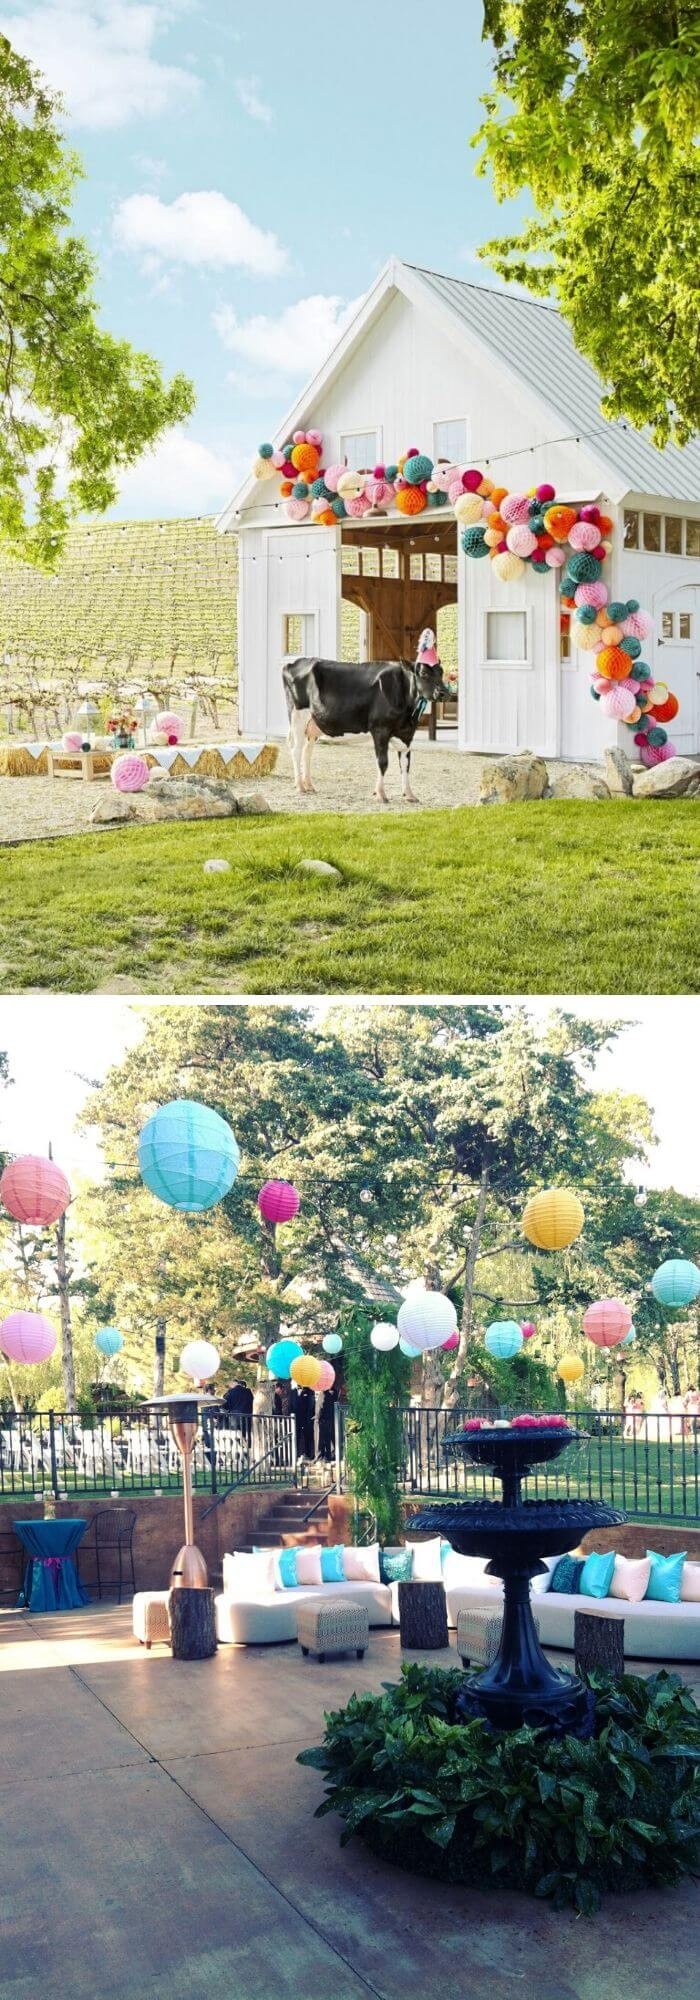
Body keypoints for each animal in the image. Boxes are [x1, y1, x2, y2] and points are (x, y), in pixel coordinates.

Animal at [282, 640, 452, 796]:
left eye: (441, 672)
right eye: (423, 673)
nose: (444, 693)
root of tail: (294, 663)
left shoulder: (406, 733)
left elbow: (406, 763)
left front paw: (409, 794)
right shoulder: (380, 729)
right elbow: (382, 762)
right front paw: (381, 794)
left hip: (313, 724)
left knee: (307, 751)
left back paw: (309, 785)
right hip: (298, 716)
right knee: (296, 750)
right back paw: (300, 786)